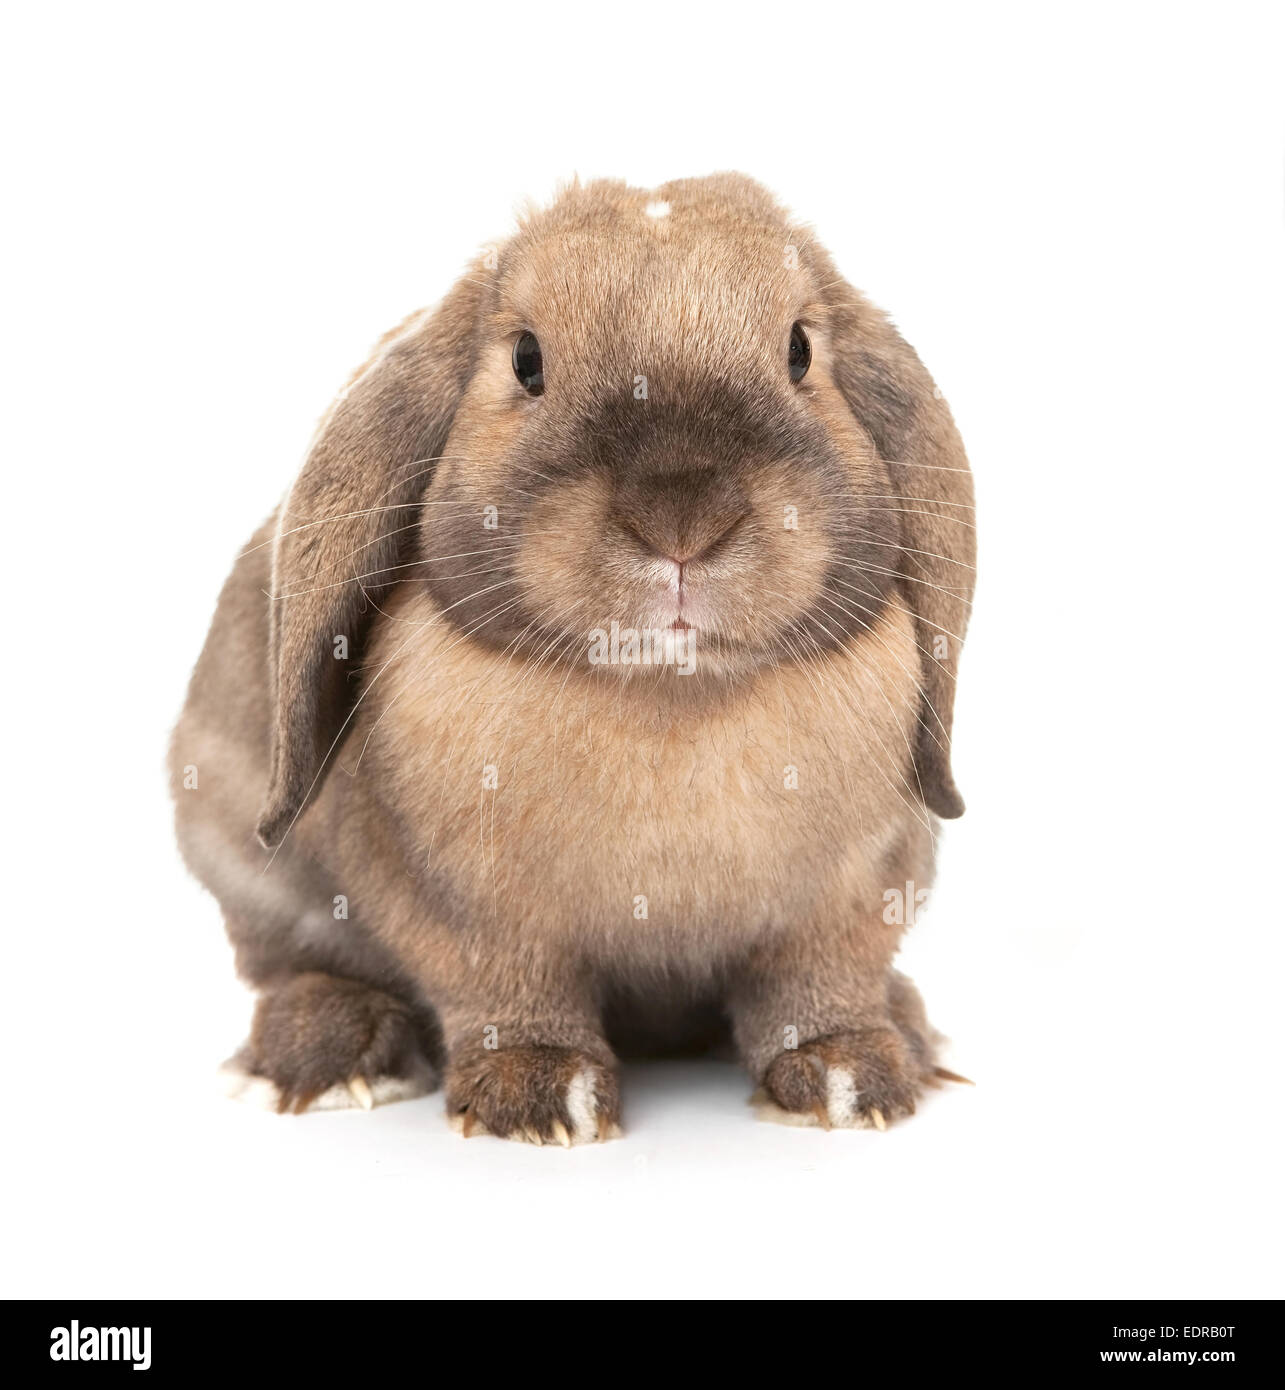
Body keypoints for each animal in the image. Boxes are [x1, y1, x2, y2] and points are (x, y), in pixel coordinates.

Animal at [170, 173, 975, 1143]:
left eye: (798, 351)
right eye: (526, 360)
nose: (680, 517)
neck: (668, 696)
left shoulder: (849, 898)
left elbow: (817, 984)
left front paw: (847, 1074)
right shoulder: (467, 912)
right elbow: (503, 988)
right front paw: (541, 1094)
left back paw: (909, 1027)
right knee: (292, 967)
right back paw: (333, 1055)